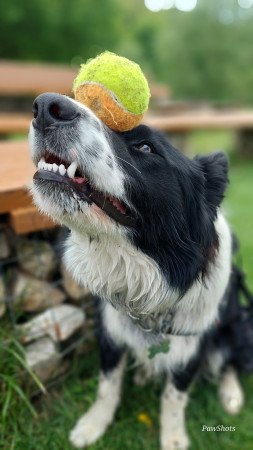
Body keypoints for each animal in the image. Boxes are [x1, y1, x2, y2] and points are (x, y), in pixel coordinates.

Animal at [28, 93, 244, 448]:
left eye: (145, 147)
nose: (45, 107)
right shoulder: (110, 330)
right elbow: (107, 384)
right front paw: (92, 425)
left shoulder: (193, 344)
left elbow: (174, 395)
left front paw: (173, 439)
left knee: (232, 360)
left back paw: (232, 395)